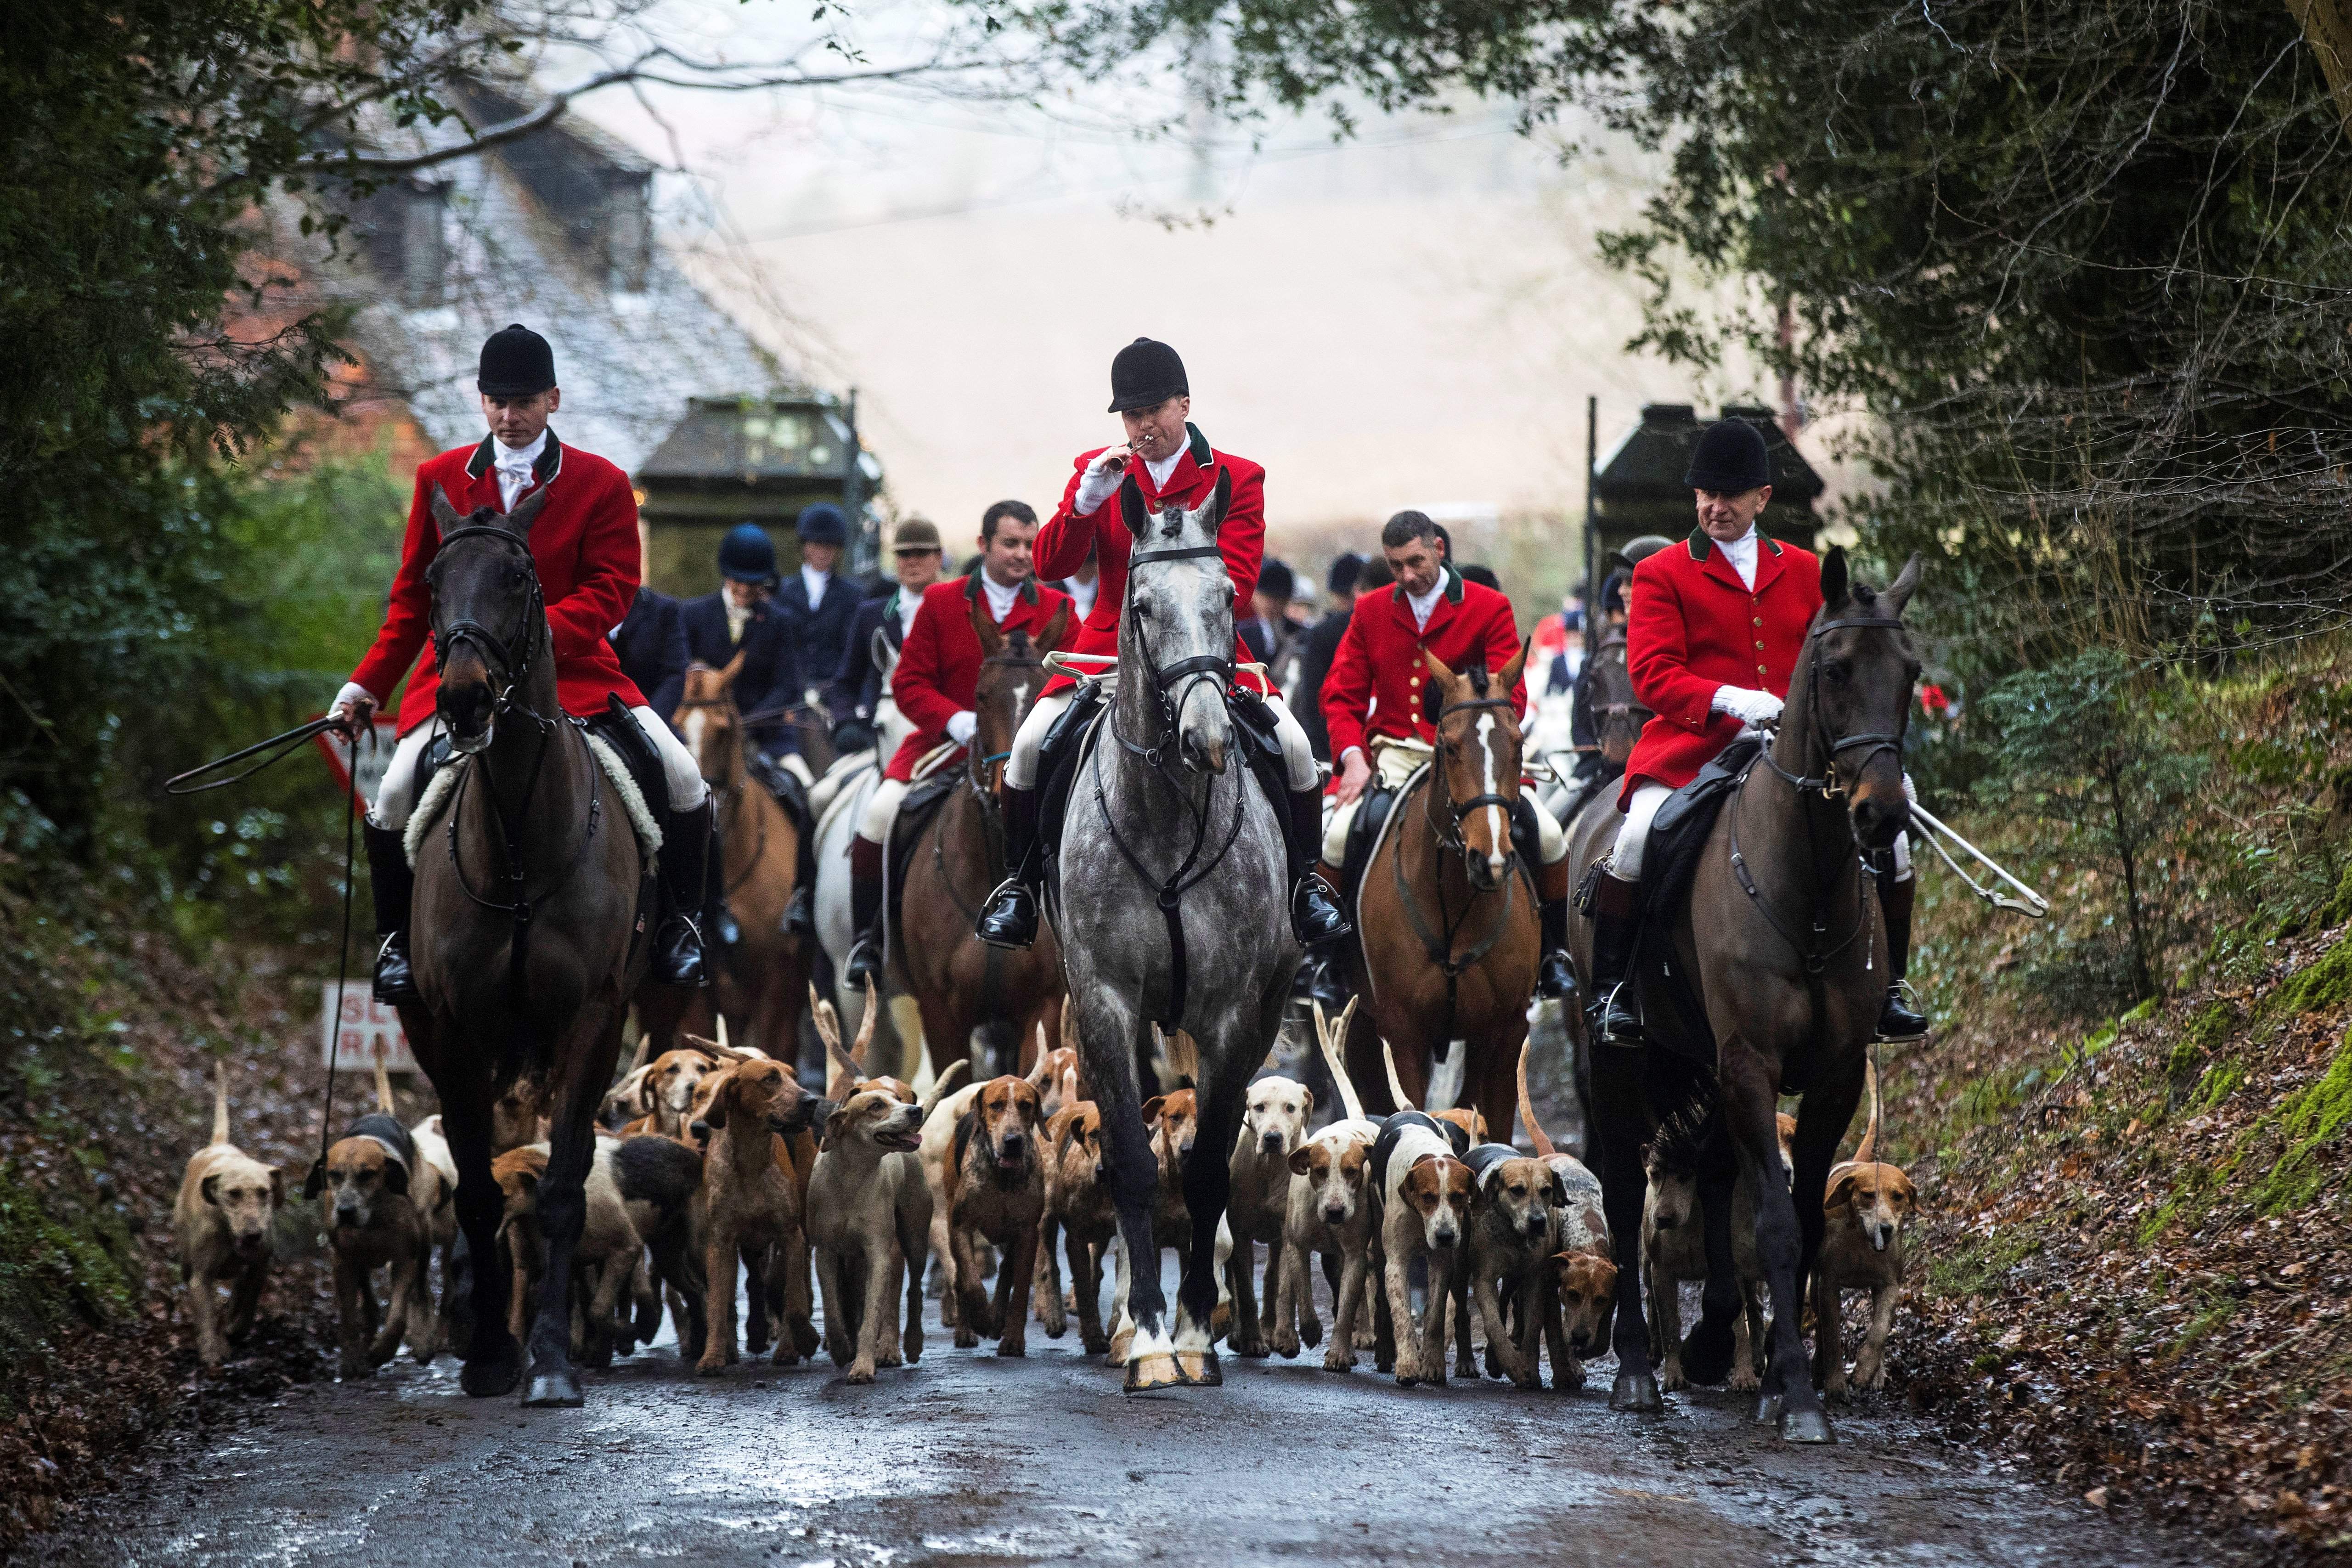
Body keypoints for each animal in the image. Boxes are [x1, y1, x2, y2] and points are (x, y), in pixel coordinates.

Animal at [395, 486, 654, 1410]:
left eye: (517, 575)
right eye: (432, 579)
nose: (466, 699)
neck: (515, 834)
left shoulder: (595, 1021)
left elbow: (563, 1189)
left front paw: (547, 1361)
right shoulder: (452, 1030)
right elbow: (476, 1189)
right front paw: (487, 1354)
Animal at [1058, 472, 1298, 1392]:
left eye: (1229, 595)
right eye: (1142, 604)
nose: (1208, 737)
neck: (1164, 815)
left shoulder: (1233, 1015)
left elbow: (1204, 1172)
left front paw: (1196, 1331)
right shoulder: (1104, 1002)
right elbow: (1132, 1156)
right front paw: (1153, 1337)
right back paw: (1131, 1321)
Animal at [1345, 644, 1543, 1133]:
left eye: (1518, 745)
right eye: (1450, 748)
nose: (1490, 860)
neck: (1454, 903)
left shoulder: (1506, 1033)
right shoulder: (1402, 1033)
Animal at [1571, 552, 1919, 1448]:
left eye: (1910, 672)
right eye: (1834, 670)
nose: (1882, 812)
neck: (1810, 886)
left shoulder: (1829, 1074)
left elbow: (1796, 1217)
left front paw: (1767, 1376)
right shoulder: (1751, 1063)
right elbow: (1774, 1222)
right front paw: (1794, 1395)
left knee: (1721, 1172)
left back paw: (1708, 1333)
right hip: (1617, 1059)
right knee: (1623, 1187)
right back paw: (1634, 1369)